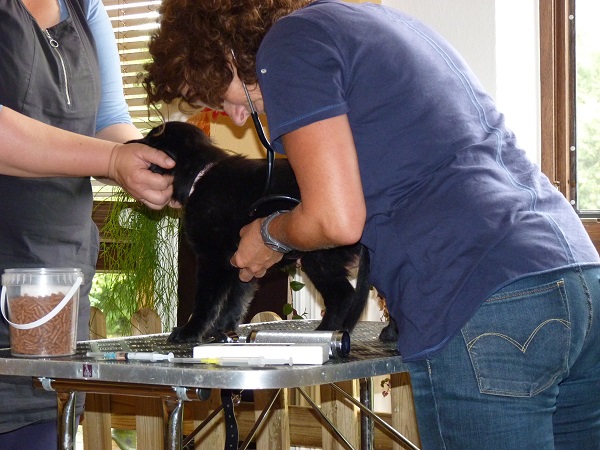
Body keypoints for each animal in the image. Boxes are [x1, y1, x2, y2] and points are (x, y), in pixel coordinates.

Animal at [130, 121, 397, 343]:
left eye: (154, 137)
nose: (126, 145)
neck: (200, 176)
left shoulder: (212, 260)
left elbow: (206, 303)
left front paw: (190, 332)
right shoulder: (242, 262)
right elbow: (236, 301)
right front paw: (222, 330)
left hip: (318, 259)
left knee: (344, 296)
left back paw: (324, 332)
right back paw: (390, 333)